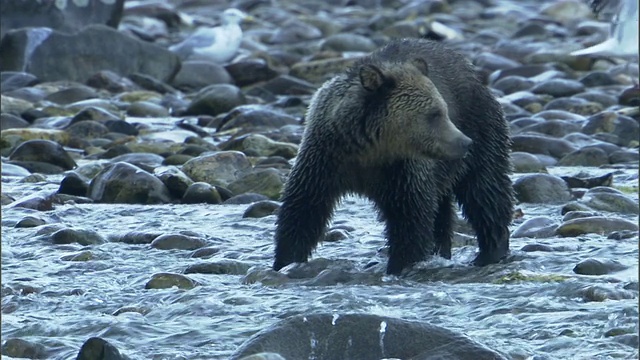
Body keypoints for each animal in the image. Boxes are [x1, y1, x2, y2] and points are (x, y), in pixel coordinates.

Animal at [272, 38, 512, 274]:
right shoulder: (326, 158)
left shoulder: (401, 169)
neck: (369, 148)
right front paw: (285, 261)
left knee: (485, 191)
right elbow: (303, 209)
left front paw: (401, 264)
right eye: (434, 114)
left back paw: (490, 251)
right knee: (445, 208)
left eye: (445, 110)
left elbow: (410, 217)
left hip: (482, 126)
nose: (464, 142)